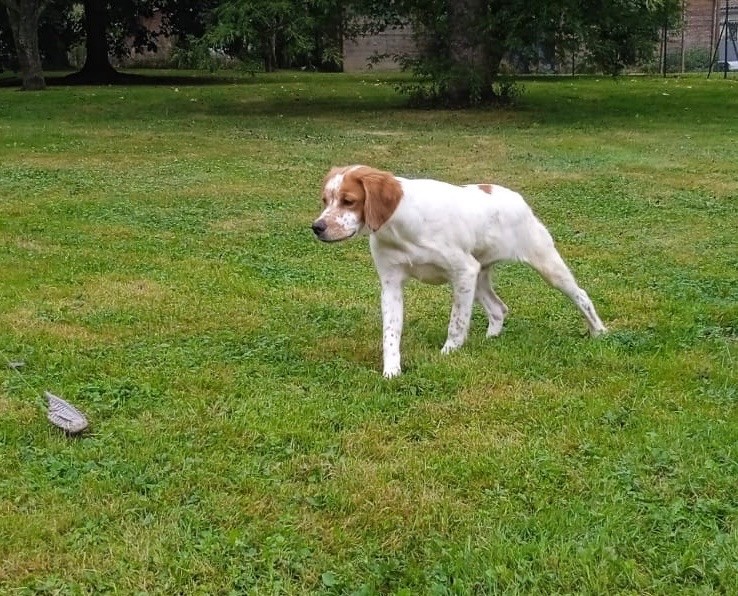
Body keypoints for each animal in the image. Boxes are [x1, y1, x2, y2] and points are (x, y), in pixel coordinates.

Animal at [310, 164, 604, 378]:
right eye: (325, 200)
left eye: (349, 201)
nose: (317, 227)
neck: (401, 227)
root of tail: (517, 198)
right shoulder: (391, 283)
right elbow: (390, 333)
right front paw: (391, 370)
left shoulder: (463, 270)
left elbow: (456, 322)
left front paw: (449, 352)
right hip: (480, 277)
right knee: (499, 308)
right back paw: (491, 338)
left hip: (544, 264)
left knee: (581, 295)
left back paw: (599, 332)